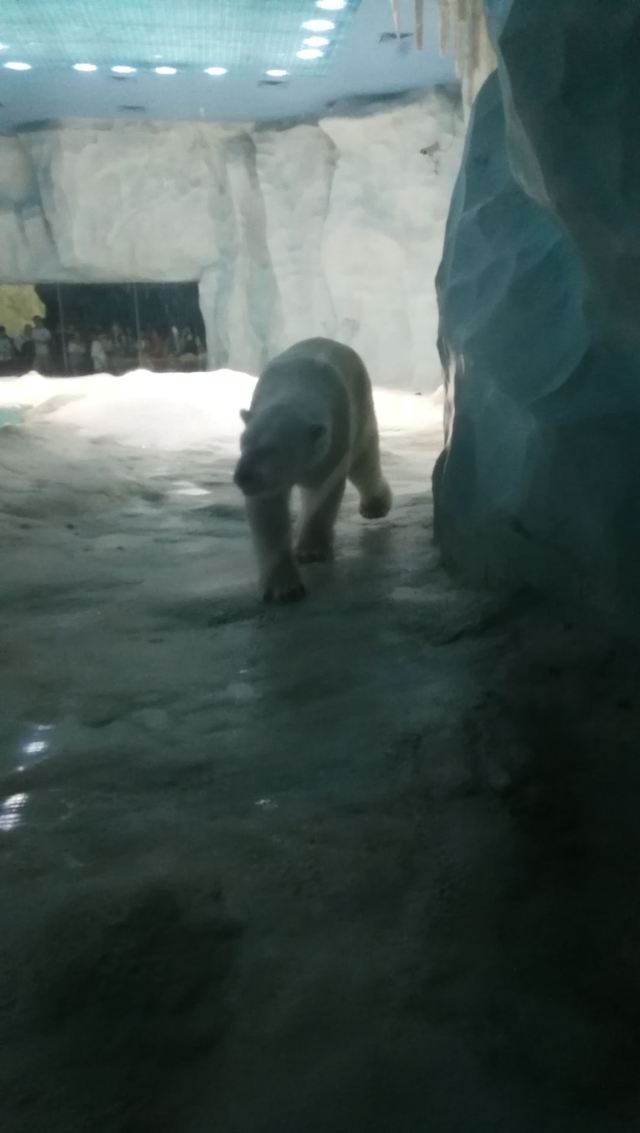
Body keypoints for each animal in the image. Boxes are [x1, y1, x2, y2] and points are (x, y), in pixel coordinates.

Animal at [233, 337, 392, 603]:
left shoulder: (333, 440)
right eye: (243, 443)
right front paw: (283, 587)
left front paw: (311, 552)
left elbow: (322, 493)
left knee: (364, 462)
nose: (242, 477)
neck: (297, 387)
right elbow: (269, 512)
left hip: (361, 403)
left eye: (272, 450)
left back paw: (375, 506)